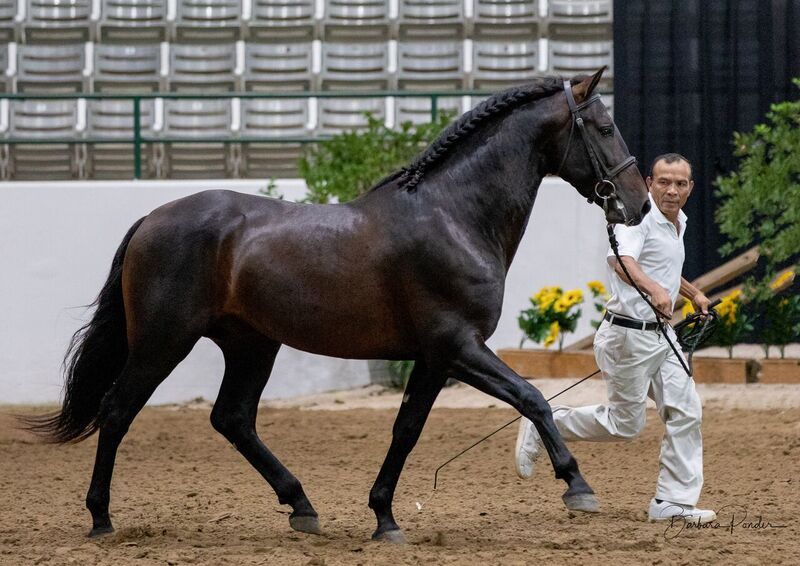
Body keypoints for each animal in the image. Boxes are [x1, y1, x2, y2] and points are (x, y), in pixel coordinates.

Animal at [26, 68, 650, 544]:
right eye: (605, 126)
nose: (639, 204)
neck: (454, 216)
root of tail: (151, 220)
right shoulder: (459, 346)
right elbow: (532, 398)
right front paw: (578, 486)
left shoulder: (433, 358)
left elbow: (406, 430)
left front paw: (384, 517)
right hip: (164, 342)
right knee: (117, 411)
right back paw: (101, 518)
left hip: (251, 345)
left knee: (232, 418)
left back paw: (302, 506)